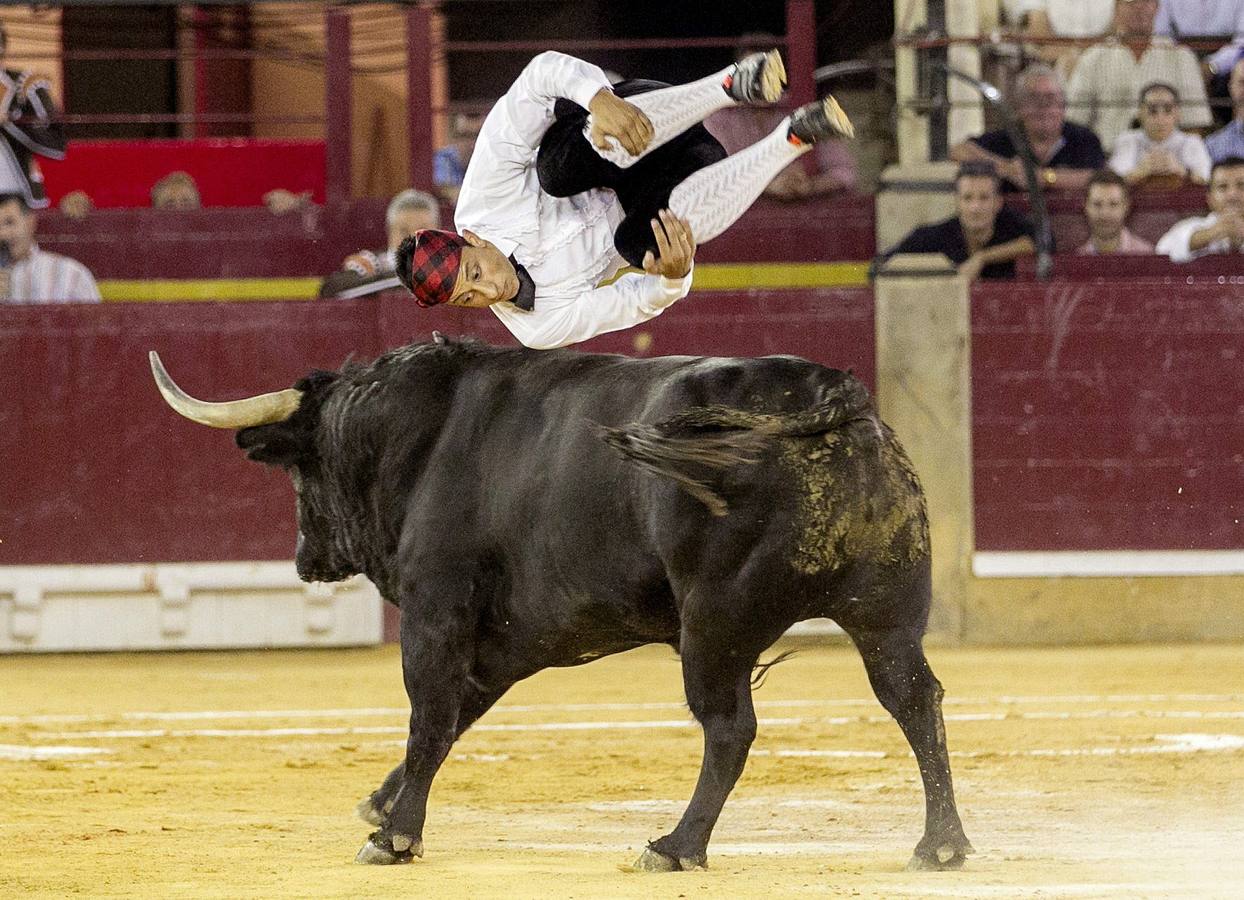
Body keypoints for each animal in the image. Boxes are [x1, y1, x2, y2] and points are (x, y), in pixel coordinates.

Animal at [150, 336, 970, 871]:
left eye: (302, 469)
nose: (304, 557)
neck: (420, 433)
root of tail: (827, 395)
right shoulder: (510, 639)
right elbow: (457, 714)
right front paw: (384, 805)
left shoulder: (436, 605)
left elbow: (429, 711)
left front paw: (394, 836)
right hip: (885, 611)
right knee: (914, 699)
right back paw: (941, 844)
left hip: (714, 622)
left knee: (731, 727)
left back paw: (676, 847)